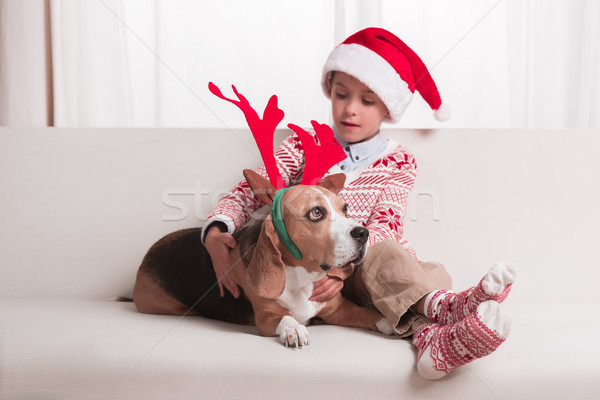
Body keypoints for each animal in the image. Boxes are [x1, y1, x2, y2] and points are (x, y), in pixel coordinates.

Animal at [134, 170, 392, 346]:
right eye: (316, 213)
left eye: (345, 209)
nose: (363, 233)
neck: (302, 278)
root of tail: (147, 255)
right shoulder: (266, 318)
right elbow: (285, 317)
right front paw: (294, 329)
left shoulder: (339, 309)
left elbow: (368, 313)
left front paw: (390, 323)